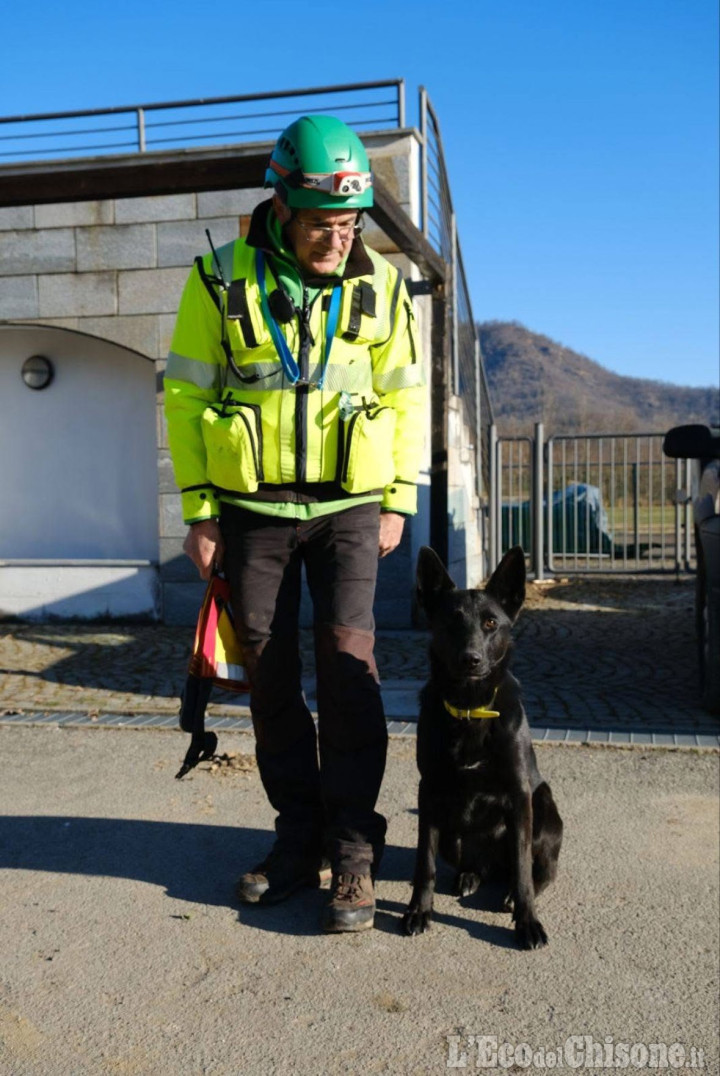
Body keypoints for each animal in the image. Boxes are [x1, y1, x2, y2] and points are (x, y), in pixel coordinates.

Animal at [404, 546, 559, 951]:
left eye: (491, 623)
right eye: (451, 622)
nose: (470, 659)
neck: (470, 709)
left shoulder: (520, 794)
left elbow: (523, 870)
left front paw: (527, 921)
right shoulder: (429, 792)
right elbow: (423, 862)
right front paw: (418, 910)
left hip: (543, 804)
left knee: (538, 870)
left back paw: (512, 894)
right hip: (452, 836)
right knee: (477, 866)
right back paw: (470, 876)